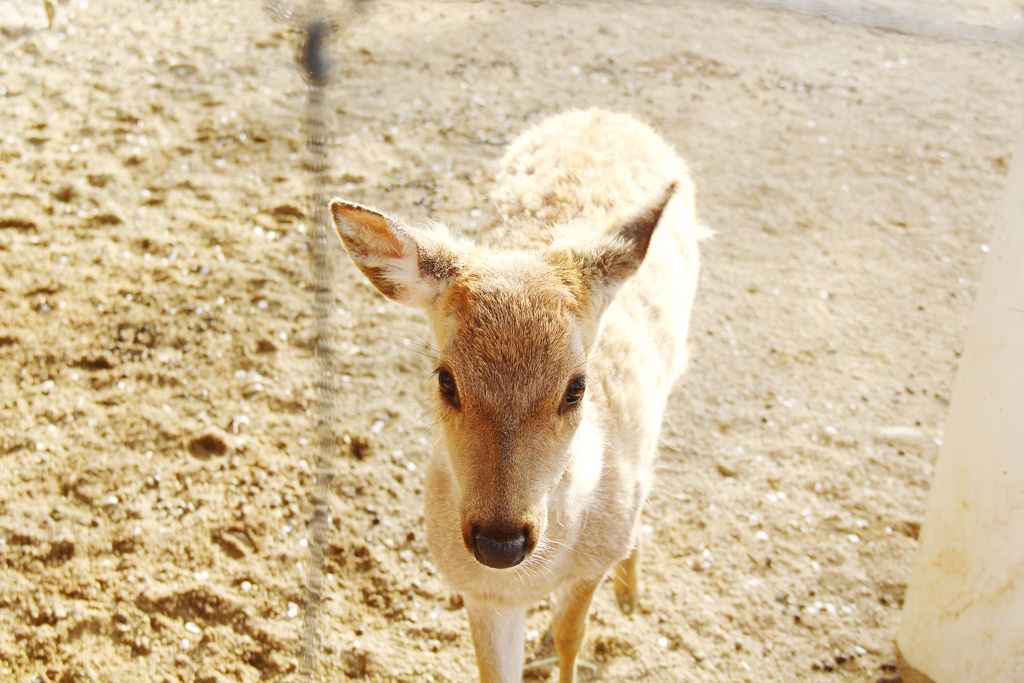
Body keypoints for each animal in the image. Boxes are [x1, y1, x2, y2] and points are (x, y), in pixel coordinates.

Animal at [330, 108, 707, 682]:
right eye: (445, 379)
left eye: (576, 386)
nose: (500, 542)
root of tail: (603, 113)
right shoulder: (480, 593)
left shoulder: (589, 564)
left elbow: (573, 637)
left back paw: (630, 592)